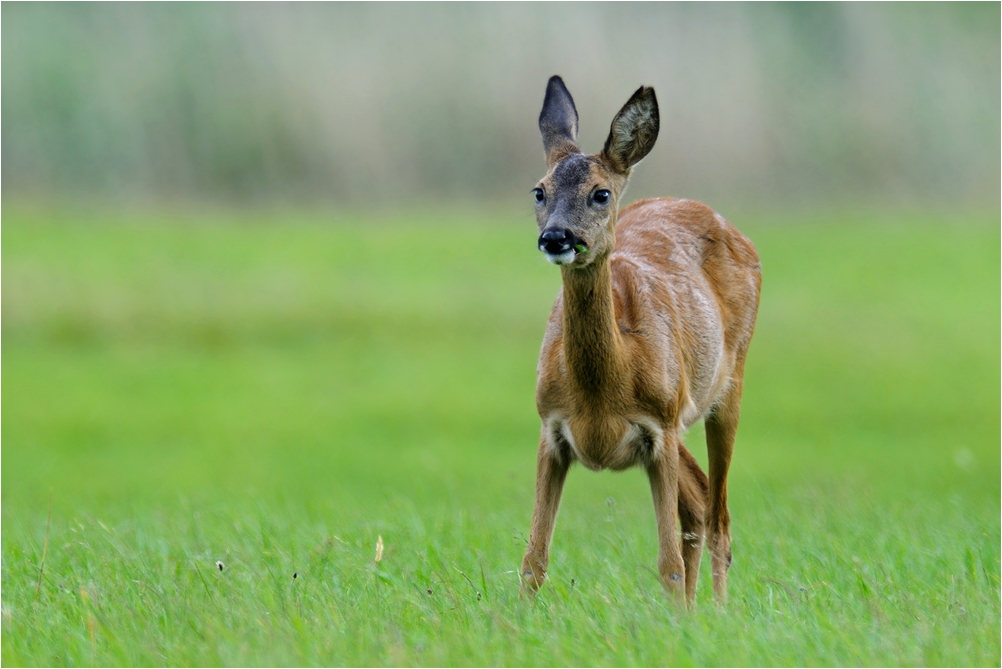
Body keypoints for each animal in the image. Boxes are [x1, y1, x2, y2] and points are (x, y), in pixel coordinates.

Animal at [525, 77, 757, 604]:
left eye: (600, 193)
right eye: (539, 191)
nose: (556, 237)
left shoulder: (659, 427)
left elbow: (667, 564)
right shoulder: (550, 428)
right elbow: (534, 561)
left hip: (725, 386)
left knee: (718, 516)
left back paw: (718, 610)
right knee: (698, 502)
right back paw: (697, 610)